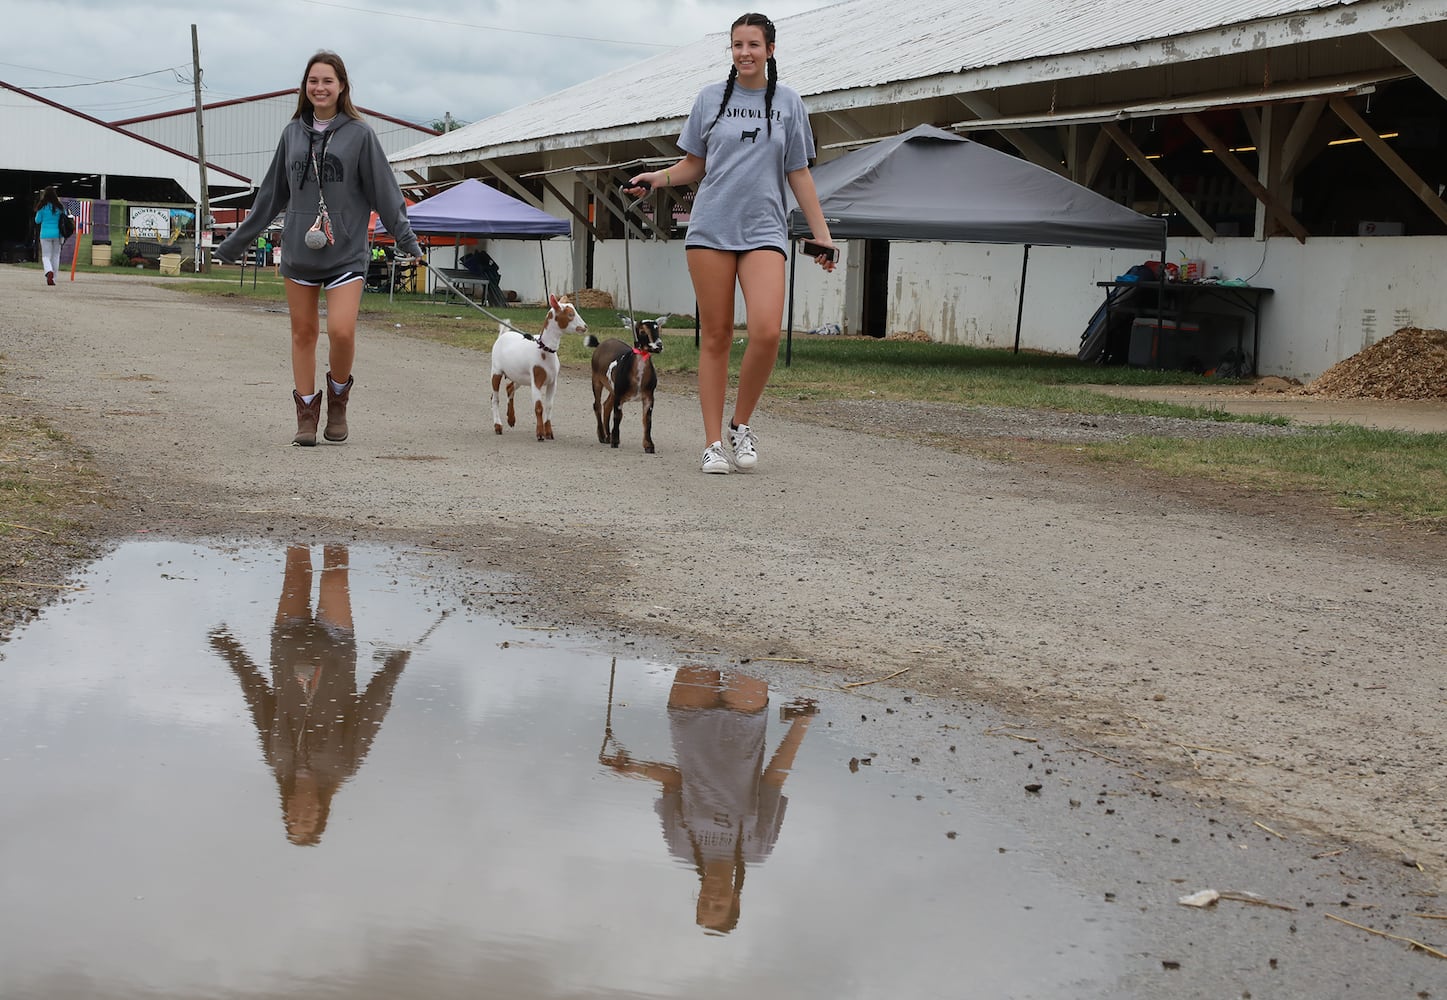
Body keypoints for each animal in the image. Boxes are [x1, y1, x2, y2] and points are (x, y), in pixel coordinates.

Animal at [491, 293, 587, 442]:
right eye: (570, 314)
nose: (585, 326)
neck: (544, 349)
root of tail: (503, 334)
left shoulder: (552, 382)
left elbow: (549, 406)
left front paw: (549, 433)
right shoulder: (536, 380)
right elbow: (538, 407)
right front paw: (540, 433)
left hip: (519, 377)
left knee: (509, 388)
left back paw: (511, 419)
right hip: (496, 370)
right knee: (494, 398)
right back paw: (498, 426)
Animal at [584, 312, 662, 454]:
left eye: (657, 328)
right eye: (642, 331)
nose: (659, 346)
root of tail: (601, 344)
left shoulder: (649, 397)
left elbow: (647, 421)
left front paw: (649, 446)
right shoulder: (619, 397)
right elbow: (618, 416)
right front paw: (615, 441)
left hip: (613, 389)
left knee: (606, 405)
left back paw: (607, 436)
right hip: (596, 380)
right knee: (597, 405)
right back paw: (602, 436)